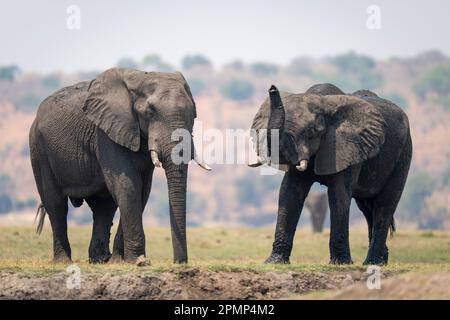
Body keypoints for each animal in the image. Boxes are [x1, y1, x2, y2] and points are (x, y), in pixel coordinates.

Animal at [29, 67, 209, 264]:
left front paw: (122, 261)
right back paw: (64, 261)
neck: (139, 78)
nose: (179, 262)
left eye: (194, 114)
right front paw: (139, 261)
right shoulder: (106, 133)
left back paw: (101, 260)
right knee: (56, 204)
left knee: (103, 208)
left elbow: (142, 191)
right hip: (39, 148)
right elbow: (128, 186)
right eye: (150, 111)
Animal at [251, 83, 414, 264]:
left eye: (312, 132)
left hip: (404, 152)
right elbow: (289, 192)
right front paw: (274, 262)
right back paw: (381, 262)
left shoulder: (348, 147)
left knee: (385, 205)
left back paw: (372, 262)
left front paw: (340, 263)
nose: (272, 88)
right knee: (367, 208)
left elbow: (338, 194)